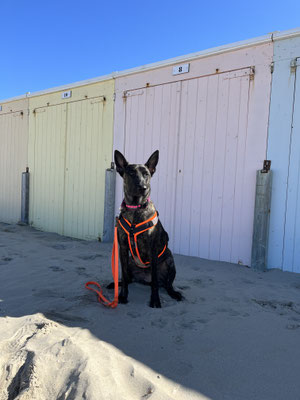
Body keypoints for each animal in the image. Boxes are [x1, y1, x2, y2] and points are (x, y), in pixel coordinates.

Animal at [113, 148, 182, 308]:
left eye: (146, 174)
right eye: (131, 173)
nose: (143, 188)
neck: (136, 208)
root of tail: (144, 279)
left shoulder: (152, 250)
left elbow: (155, 282)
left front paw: (155, 300)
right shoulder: (123, 248)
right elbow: (124, 277)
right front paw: (123, 296)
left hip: (170, 260)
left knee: (167, 284)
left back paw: (174, 293)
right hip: (130, 261)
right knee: (128, 278)